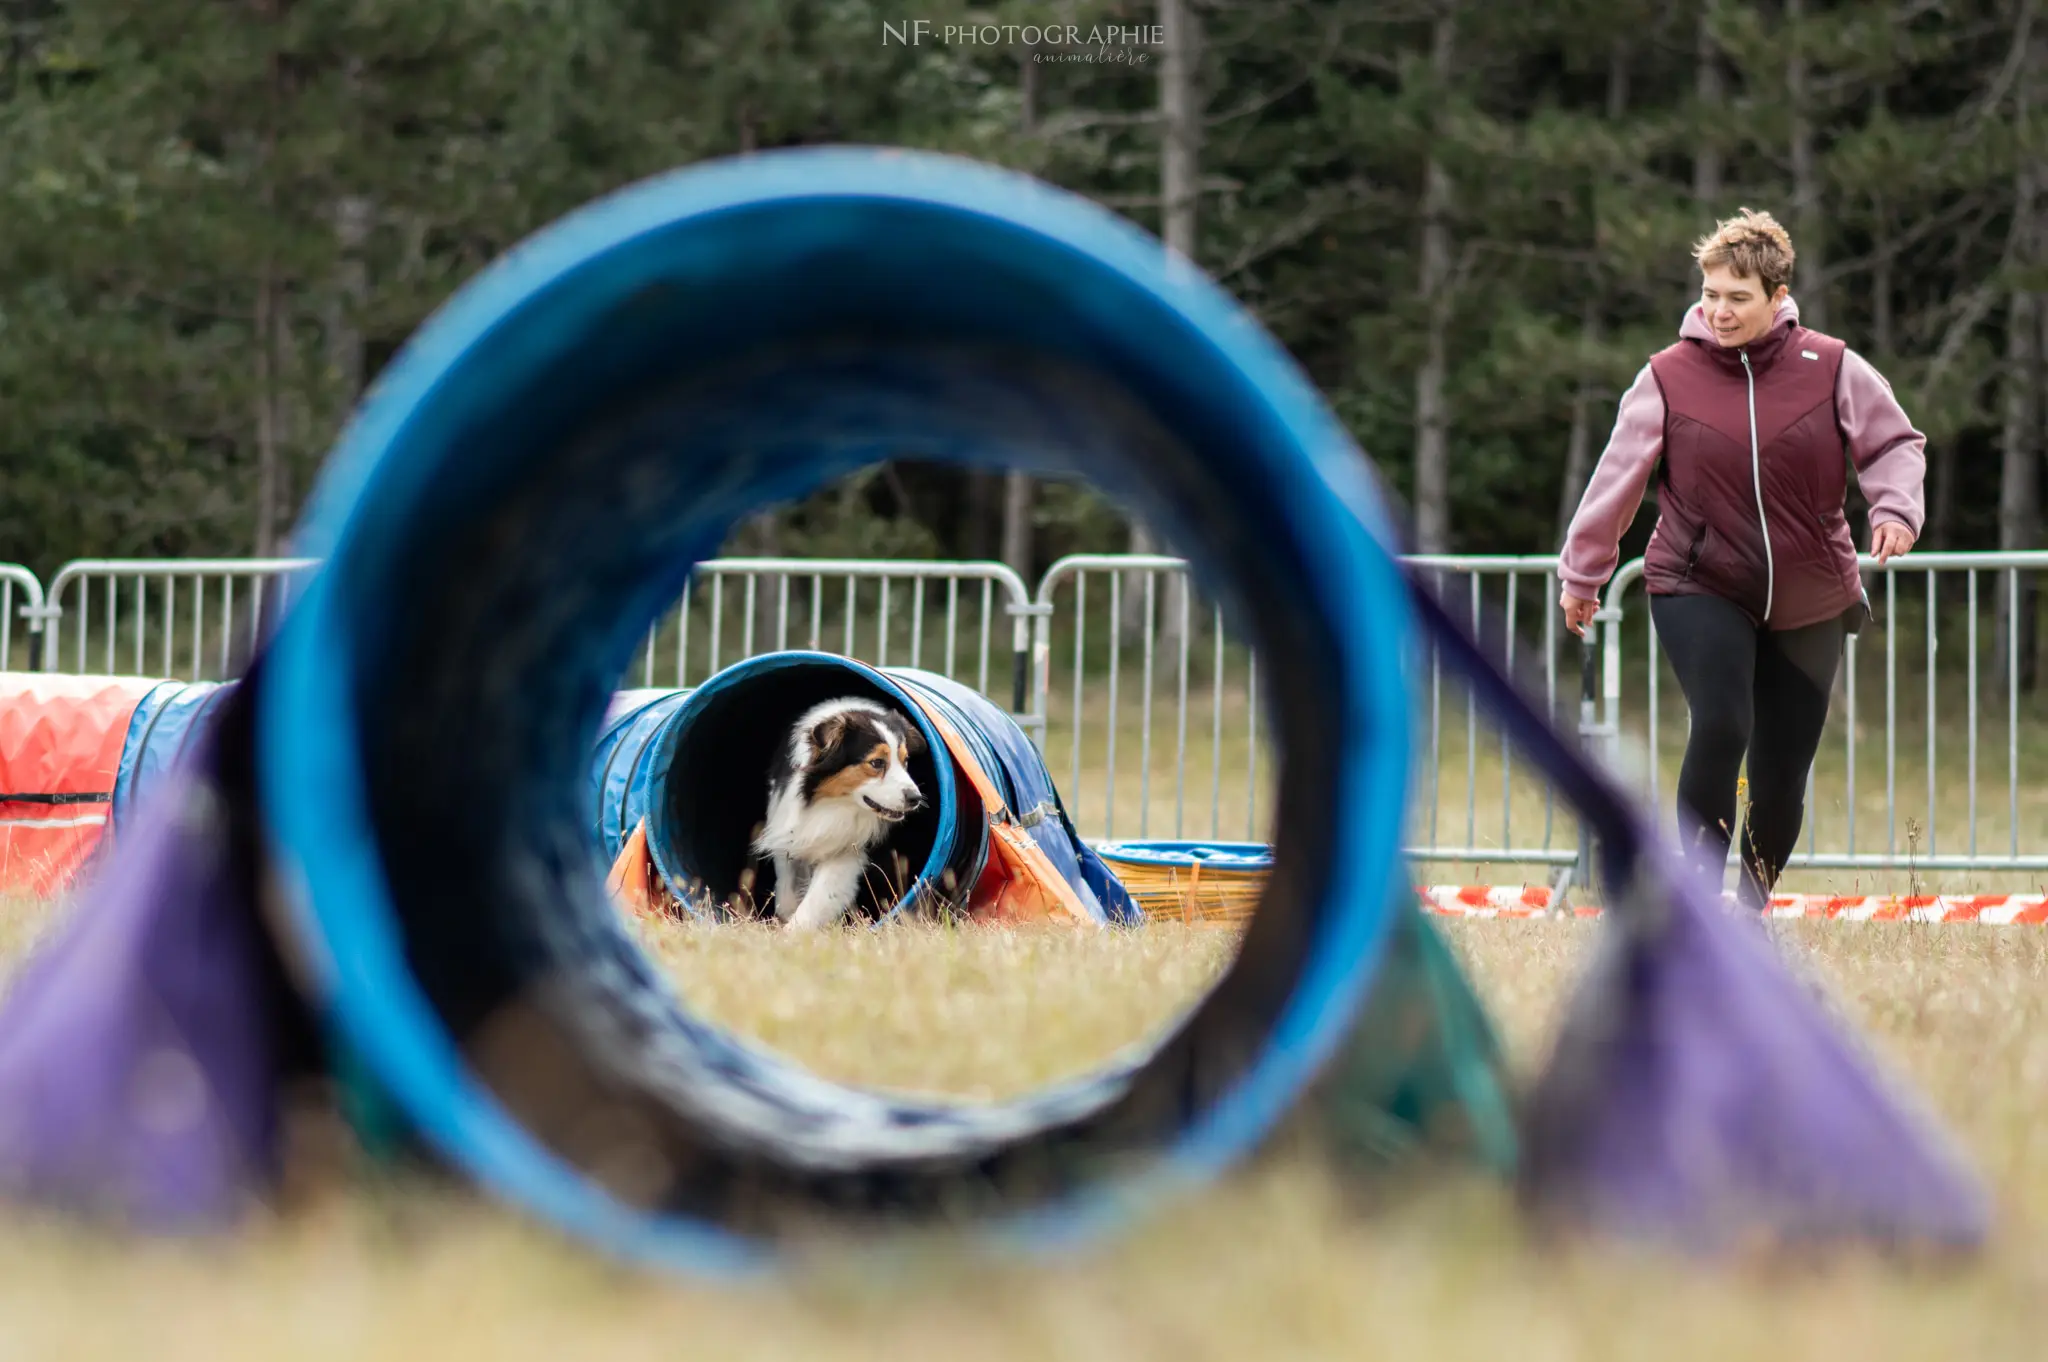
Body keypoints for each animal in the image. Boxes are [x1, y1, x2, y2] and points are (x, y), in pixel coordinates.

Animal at [753, 696, 929, 929]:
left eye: (905, 760)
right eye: (877, 762)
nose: (915, 798)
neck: (836, 804)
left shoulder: (848, 850)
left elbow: (820, 895)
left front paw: (792, 931)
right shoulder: (789, 830)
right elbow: (786, 889)